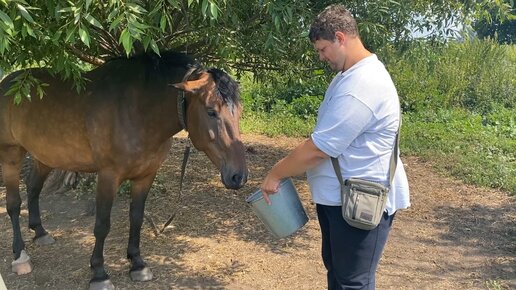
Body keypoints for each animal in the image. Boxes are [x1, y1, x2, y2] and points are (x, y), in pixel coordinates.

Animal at [0, 52, 248, 290]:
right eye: (211, 111)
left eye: (240, 112)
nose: (238, 176)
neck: (137, 110)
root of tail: (8, 82)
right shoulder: (108, 177)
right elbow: (102, 225)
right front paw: (99, 274)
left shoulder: (145, 176)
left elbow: (136, 218)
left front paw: (137, 264)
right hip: (11, 155)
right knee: (14, 204)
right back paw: (20, 256)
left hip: (45, 156)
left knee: (33, 188)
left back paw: (40, 233)